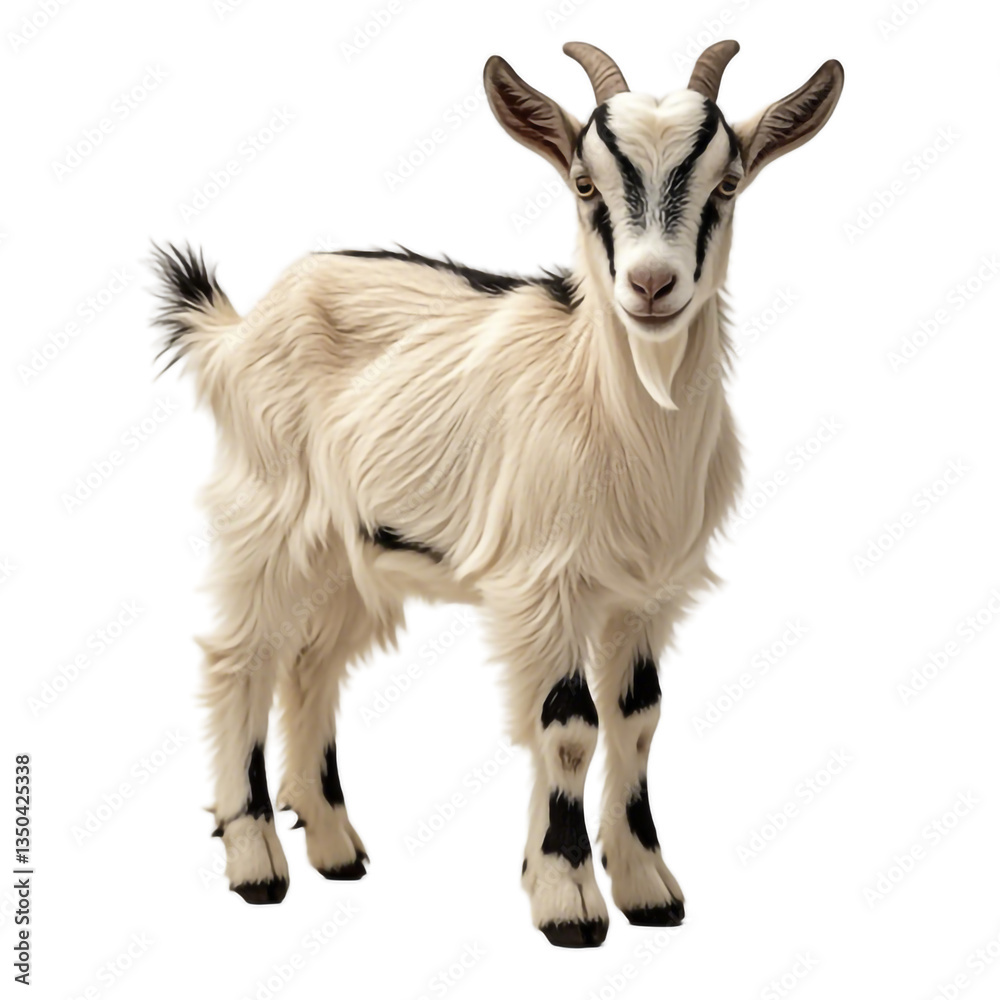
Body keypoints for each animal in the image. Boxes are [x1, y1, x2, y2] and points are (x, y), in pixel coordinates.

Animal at [153, 40, 843, 948]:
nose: (652, 285)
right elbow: (569, 726)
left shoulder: (647, 594)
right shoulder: (541, 585)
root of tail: (238, 329)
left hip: (357, 551)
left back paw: (335, 845)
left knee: (311, 664)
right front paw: (568, 899)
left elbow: (638, 720)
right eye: (584, 183)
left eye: (727, 185)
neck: (616, 418)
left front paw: (647, 888)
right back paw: (256, 860)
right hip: (270, 512)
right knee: (243, 658)